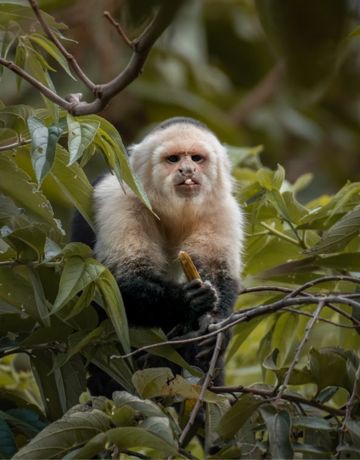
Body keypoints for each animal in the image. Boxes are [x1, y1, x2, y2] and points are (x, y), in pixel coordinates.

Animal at [71, 117, 245, 396]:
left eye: (197, 158)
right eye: (173, 159)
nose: (187, 170)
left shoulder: (222, 209)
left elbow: (220, 272)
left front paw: (216, 327)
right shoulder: (120, 200)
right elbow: (118, 283)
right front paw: (188, 301)